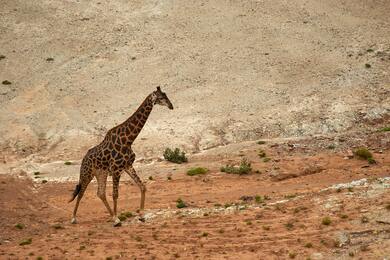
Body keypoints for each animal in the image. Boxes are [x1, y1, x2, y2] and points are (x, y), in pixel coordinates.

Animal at [68, 86, 174, 224]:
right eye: (161, 97)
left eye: (166, 95)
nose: (171, 106)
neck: (128, 140)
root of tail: (83, 159)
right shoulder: (116, 169)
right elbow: (115, 194)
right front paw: (118, 219)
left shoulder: (127, 166)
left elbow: (142, 187)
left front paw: (141, 215)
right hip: (87, 173)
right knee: (81, 192)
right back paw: (74, 218)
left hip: (100, 173)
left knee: (100, 193)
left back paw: (111, 216)